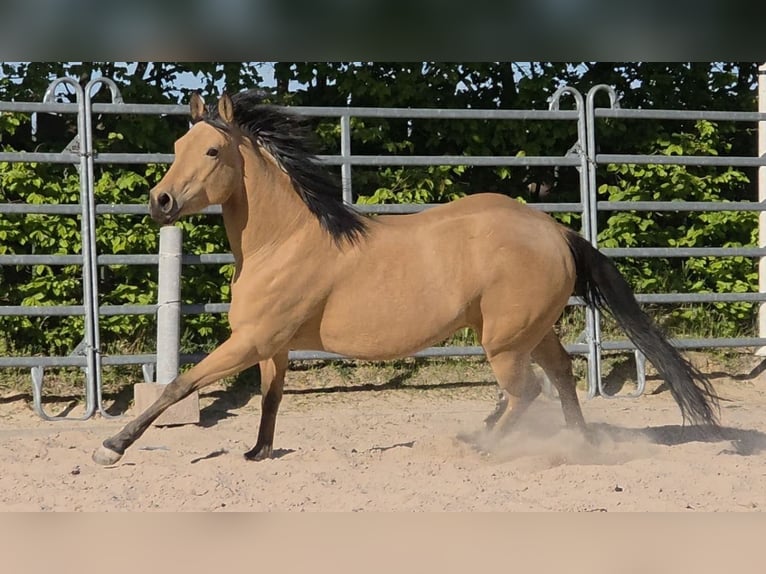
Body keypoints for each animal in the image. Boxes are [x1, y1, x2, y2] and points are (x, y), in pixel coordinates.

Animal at [92, 90, 719, 466]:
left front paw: (112, 446)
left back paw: (486, 444)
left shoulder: (249, 339)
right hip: (529, 330)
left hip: (503, 339)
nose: (160, 202)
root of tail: (554, 229)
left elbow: (180, 385)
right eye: (179, 145)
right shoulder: (274, 345)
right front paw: (259, 453)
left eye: (213, 151)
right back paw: (579, 444)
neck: (282, 240)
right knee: (562, 375)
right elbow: (271, 397)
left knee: (528, 390)